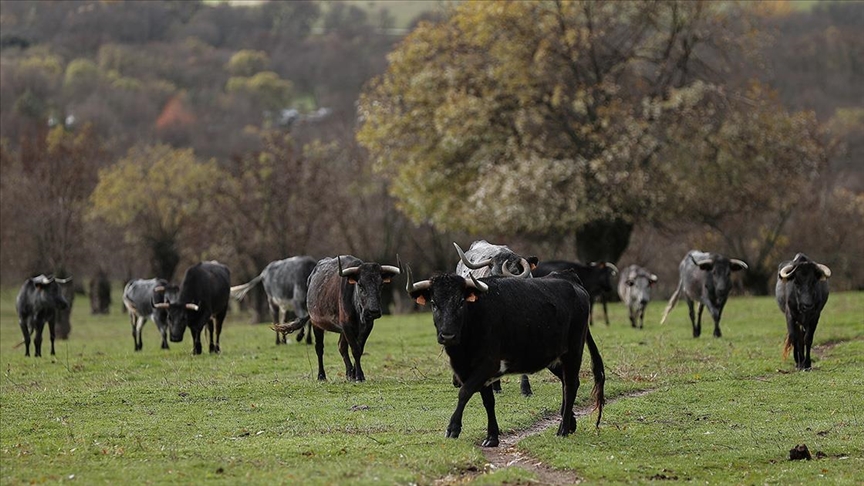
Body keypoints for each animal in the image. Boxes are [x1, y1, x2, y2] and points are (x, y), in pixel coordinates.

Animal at [274, 256, 402, 382]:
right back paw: (321, 376)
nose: (373, 311)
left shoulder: (367, 326)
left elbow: (359, 348)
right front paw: (359, 375)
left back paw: (349, 373)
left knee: (342, 347)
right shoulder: (346, 325)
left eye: (381, 285)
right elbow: (355, 349)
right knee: (319, 348)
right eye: (360, 285)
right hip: (317, 324)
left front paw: (355, 374)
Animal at [406, 268, 604, 446]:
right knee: (567, 383)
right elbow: (488, 401)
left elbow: (464, 392)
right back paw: (569, 423)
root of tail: (569, 278)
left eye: (461, 302)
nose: (447, 336)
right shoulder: (476, 371)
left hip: (573, 352)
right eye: (434, 303)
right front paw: (492, 437)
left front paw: (453, 428)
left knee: (570, 386)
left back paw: (562, 430)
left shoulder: (488, 365)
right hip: (553, 358)